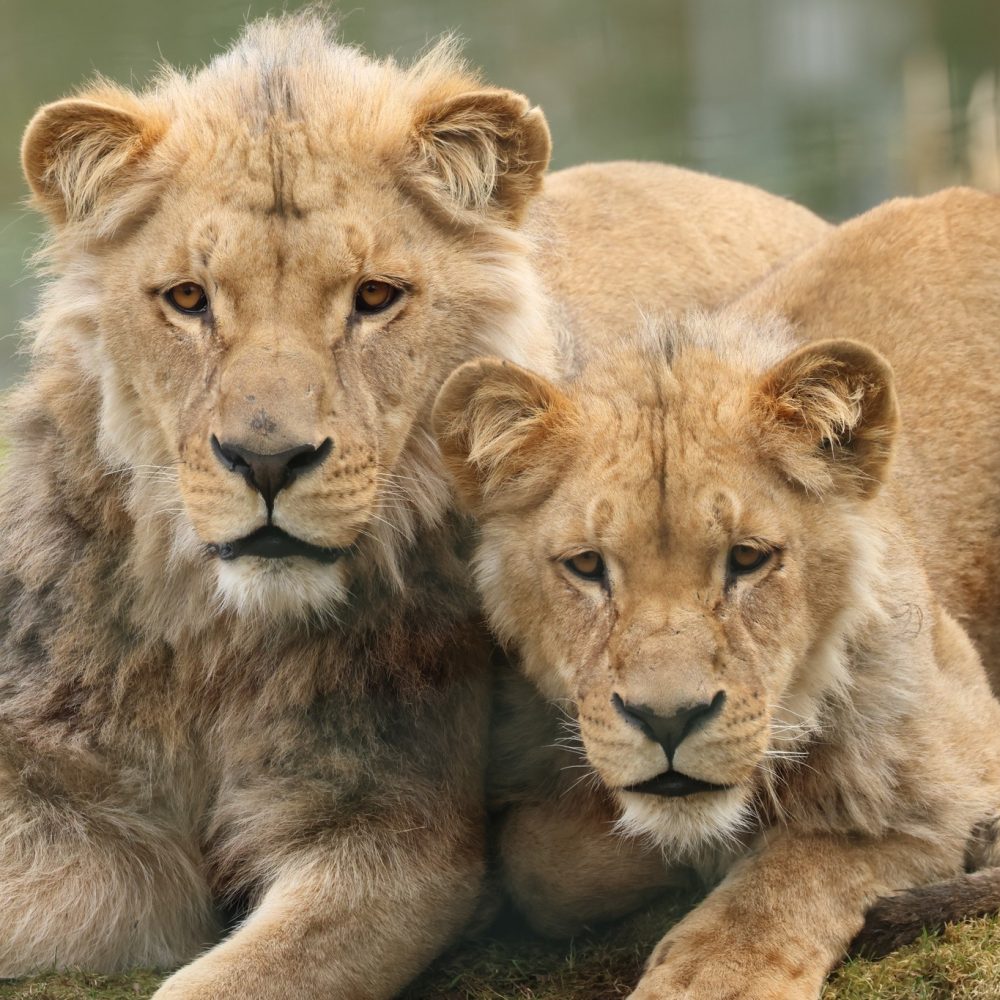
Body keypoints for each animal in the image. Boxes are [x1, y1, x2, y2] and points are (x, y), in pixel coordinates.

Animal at [1, 11, 829, 998]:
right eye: (189, 299)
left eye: (374, 297)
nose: (267, 460)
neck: (215, 640)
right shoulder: (60, 806)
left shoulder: (392, 836)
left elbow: (228, 981)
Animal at [433, 187, 1000, 999]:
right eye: (587, 566)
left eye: (747, 559)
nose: (667, 721)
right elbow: (550, 867)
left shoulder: (959, 750)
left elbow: (817, 854)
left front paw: (717, 971)